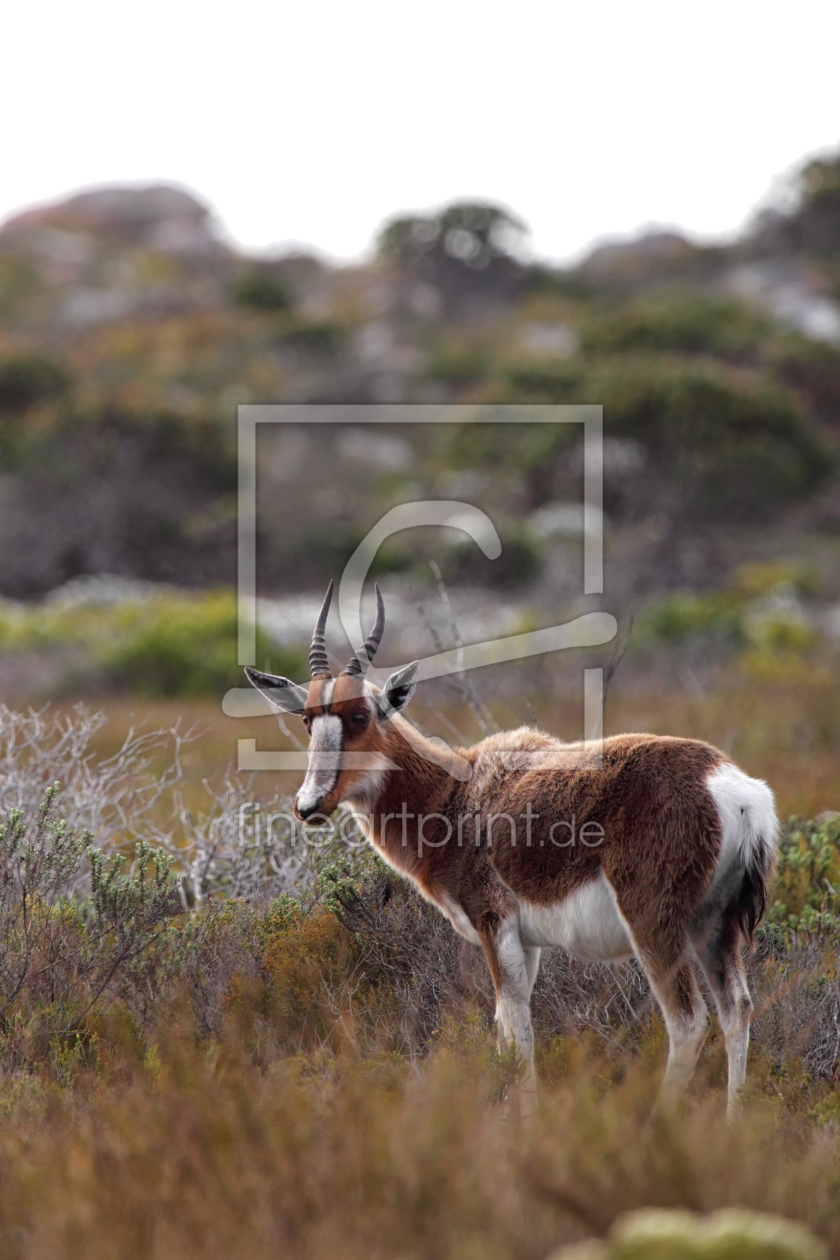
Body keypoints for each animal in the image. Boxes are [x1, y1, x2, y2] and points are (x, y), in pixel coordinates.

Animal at [246, 584, 780, 1118]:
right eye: (307, 718)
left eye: (359, 716)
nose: (309, 805)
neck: (458, 793)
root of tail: (734, 788)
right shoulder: (527, 940)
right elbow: (509, 1025)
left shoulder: (494, 922)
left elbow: (515, 1028)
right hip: (716, 926)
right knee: (737, 1010)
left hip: (655, 926)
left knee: (688, 1021)